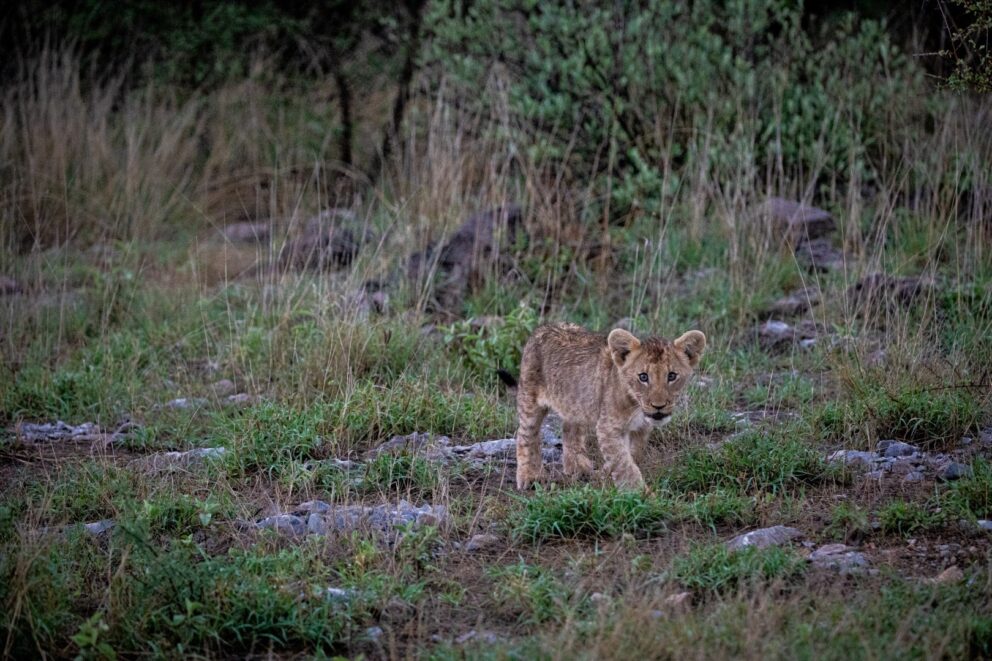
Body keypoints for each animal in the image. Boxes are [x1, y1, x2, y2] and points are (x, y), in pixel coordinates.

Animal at [505, 323, 706, 490]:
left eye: (672, 376)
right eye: (643, 377)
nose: (659, 406)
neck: (636, 405)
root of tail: (542, 328)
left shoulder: (642, 428)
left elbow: (632, 455)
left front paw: (607, 474)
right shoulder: (608, 427)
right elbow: (624, 464)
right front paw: (639, 494)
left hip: (575, 403)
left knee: (570, 428)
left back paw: (577, 467)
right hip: (530, 400)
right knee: (526, 435)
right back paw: (530, 477)